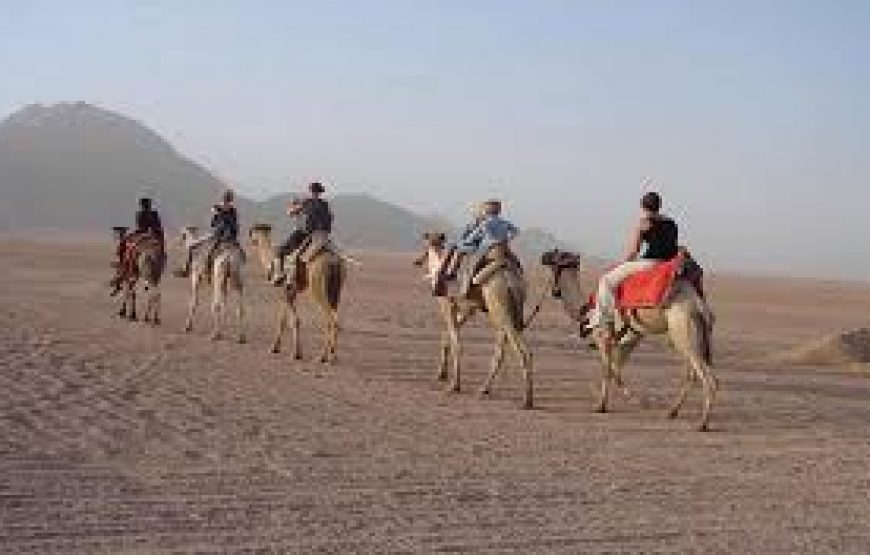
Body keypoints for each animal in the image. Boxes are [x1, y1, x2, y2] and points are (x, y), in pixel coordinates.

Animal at [247, 224, 346, 362]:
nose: (251, 241)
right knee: (335, 317)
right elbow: (284, 319)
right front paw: (276, 348)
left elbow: (293, 320)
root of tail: (333, 262)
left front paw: (295, 353)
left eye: (252, 233)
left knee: (330, 319)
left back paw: (322, 356)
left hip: (316, 287)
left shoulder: (285, 289)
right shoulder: (291, 291)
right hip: (335, 291)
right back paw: (333, 356)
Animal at [412, 232, 536, 410]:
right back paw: (485, 389)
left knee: (522, 350)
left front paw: (454, 385)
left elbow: (456, 342)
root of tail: (510, 279)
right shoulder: (468, 309)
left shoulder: (447, 305)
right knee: (501, 351)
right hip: (509, 311)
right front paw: (442, 374)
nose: (418, 260)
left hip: (499, 308)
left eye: (426, 246)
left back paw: (526, 400)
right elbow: (447, 337)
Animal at [540, 250, 720, 432]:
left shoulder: (603, 335)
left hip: (682, 328)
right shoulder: (631, 338)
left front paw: (602, 405)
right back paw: (672, 412)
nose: (543, 256)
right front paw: (634, 399)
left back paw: (702, 423)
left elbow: (607, 369)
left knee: (709, 378)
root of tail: (698, 306)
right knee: (691, 374)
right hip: (690, 335)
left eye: (556, 256)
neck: (587, 310)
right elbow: (617, 369)